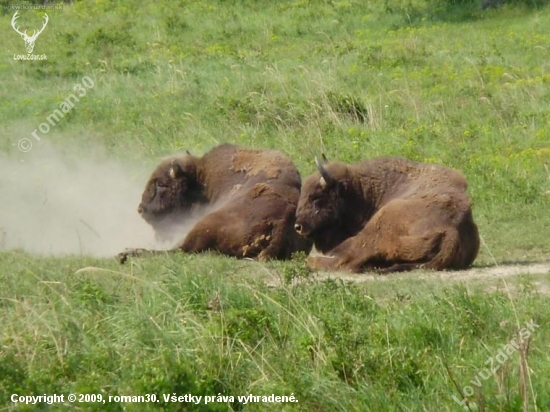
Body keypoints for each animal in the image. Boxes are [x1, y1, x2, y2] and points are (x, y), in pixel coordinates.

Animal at [118, 143, 312, 262]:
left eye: (161, 184)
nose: (140, 209)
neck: (201, 179)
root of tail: (283, 220)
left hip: (204, 224)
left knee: (179, 250)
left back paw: (125, 253)